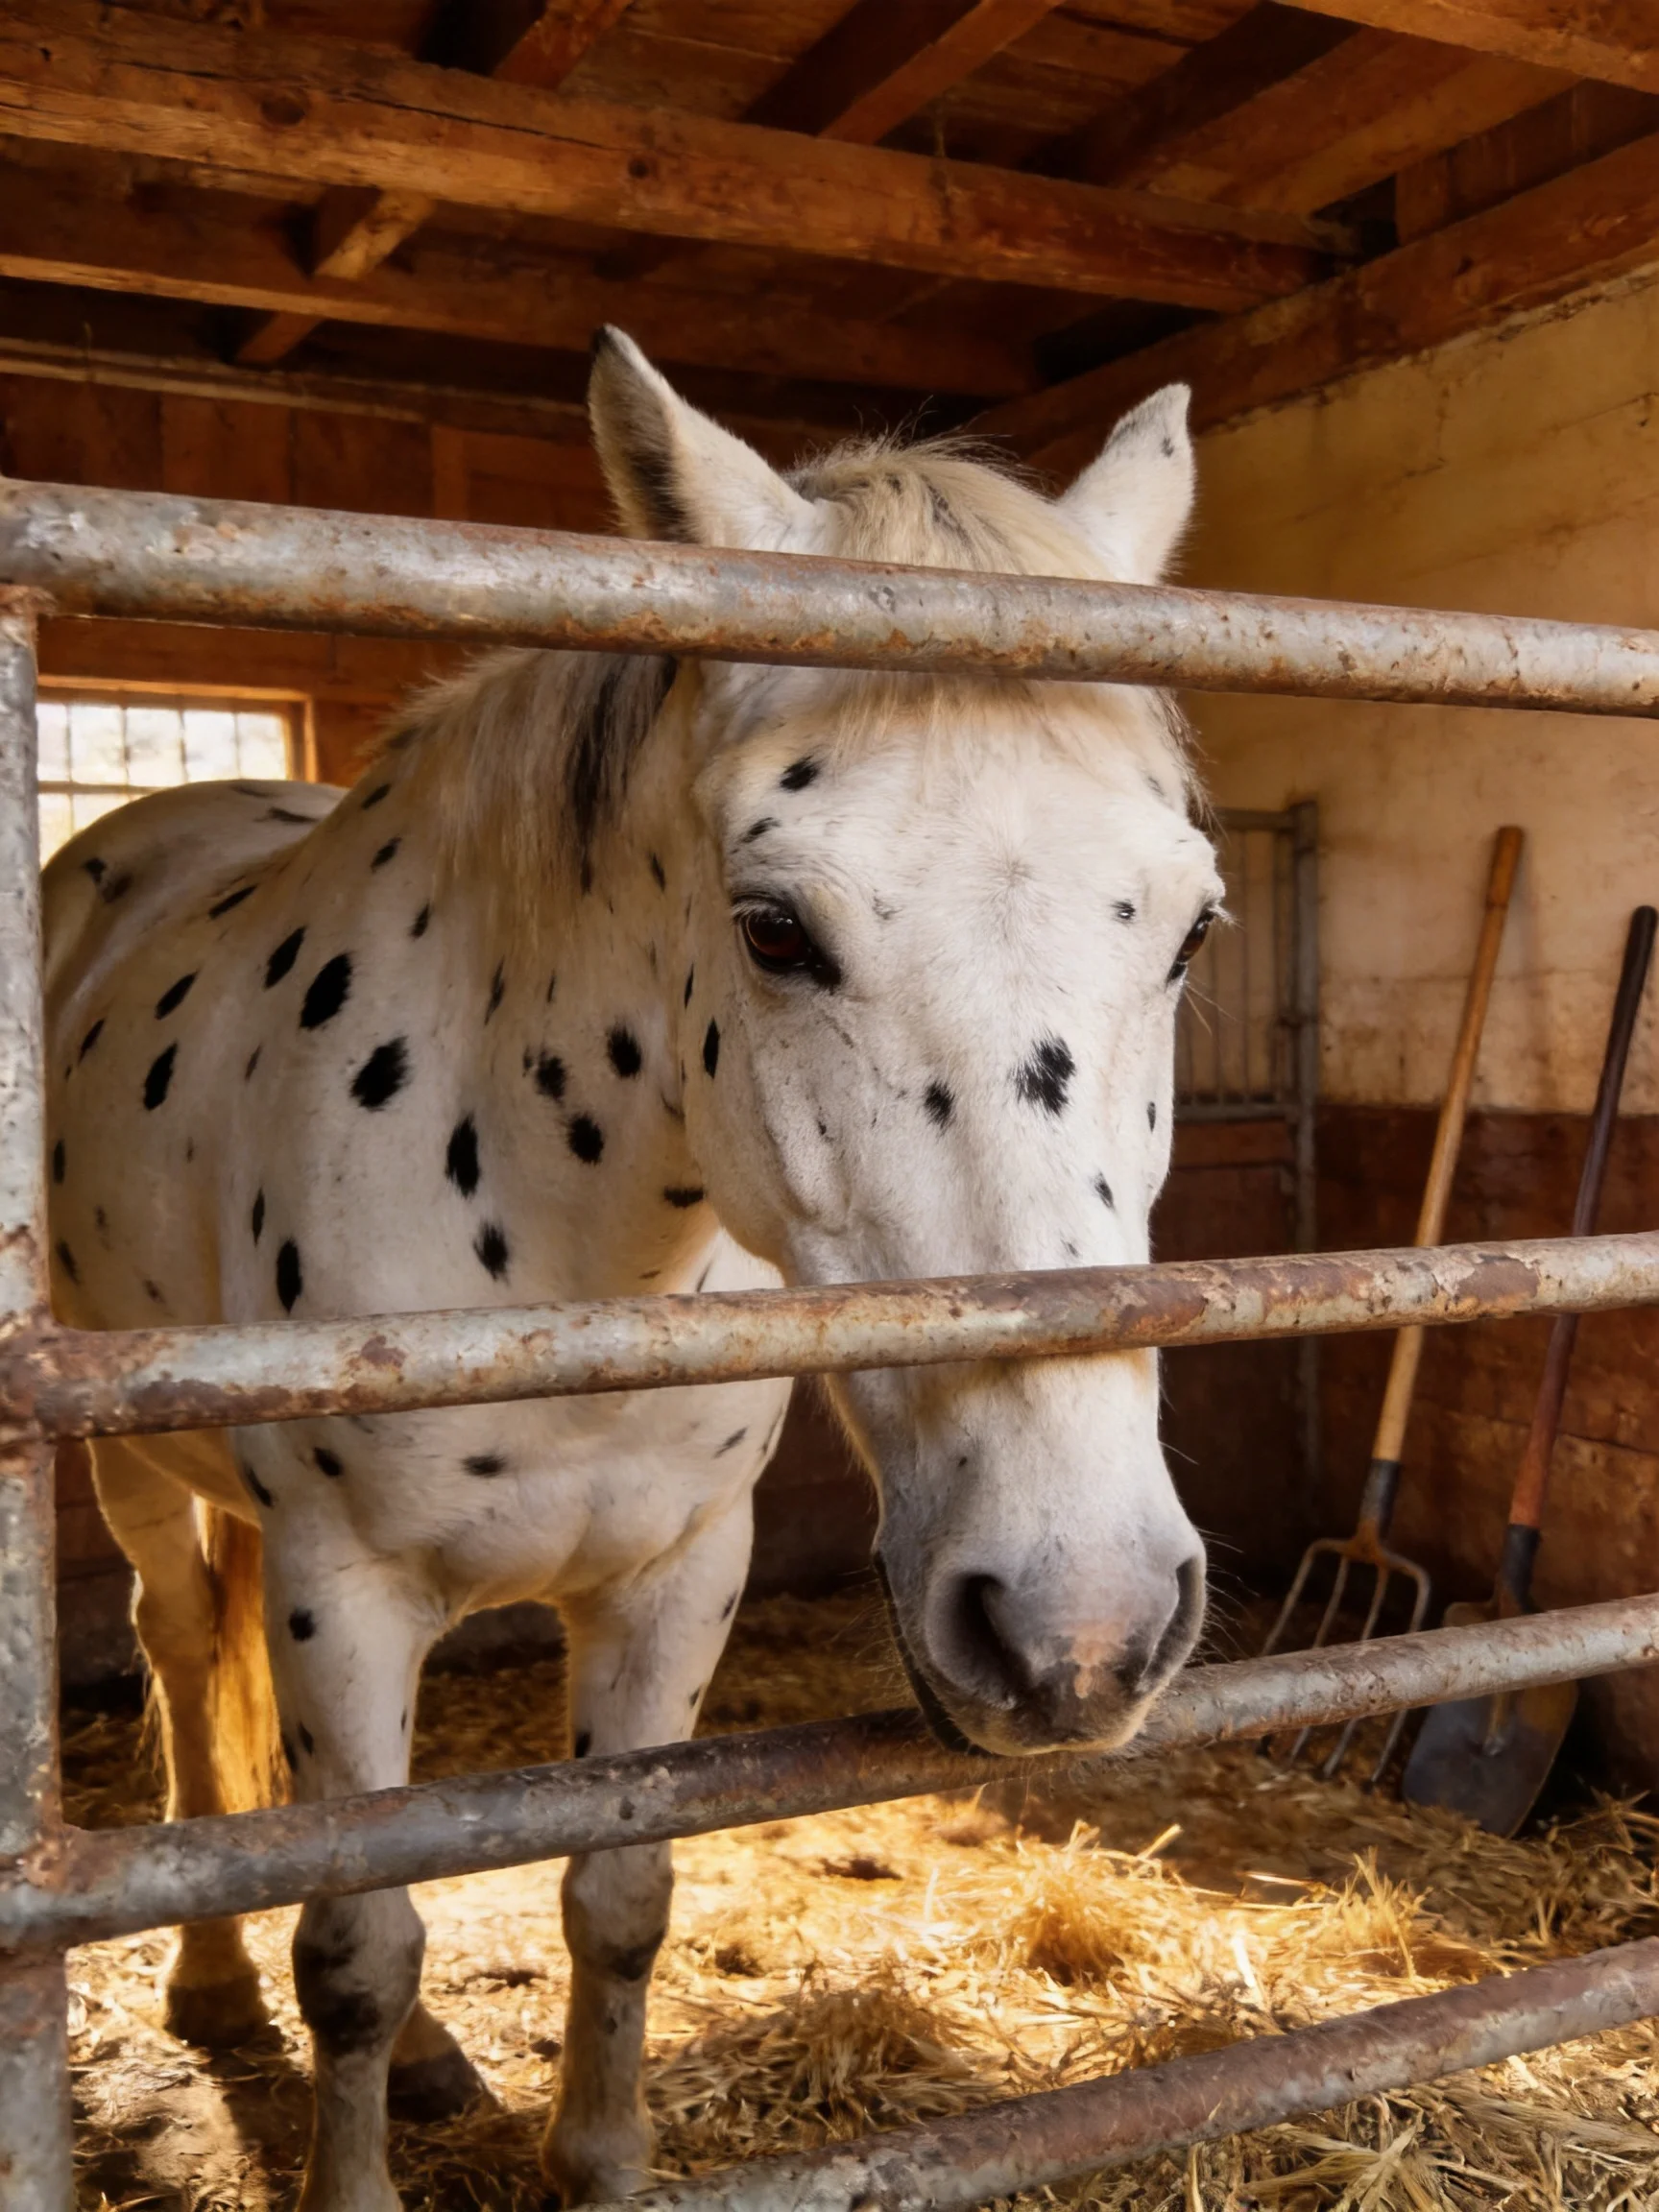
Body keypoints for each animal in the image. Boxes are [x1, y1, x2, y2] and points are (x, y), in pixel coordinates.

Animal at [43, 327, 1221, 2209]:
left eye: (1189, 927)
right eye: (775, 929)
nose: (1081, 1627)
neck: (554, 1233)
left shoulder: (678, 1576)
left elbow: (616, 1895)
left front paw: (593, 2159)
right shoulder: (340, 1596)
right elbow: (356, 1946)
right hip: (138, 1477)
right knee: (178, 1660)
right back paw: (212, 1981)